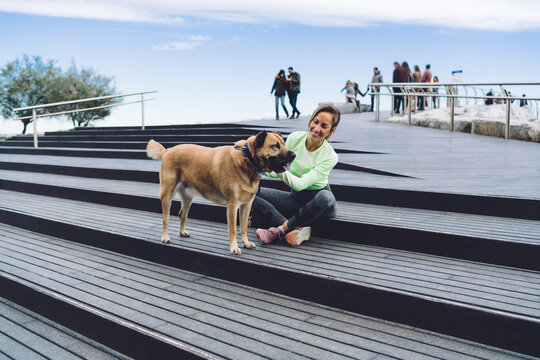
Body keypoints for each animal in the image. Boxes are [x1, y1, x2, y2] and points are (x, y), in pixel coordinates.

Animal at [146, 131, 296, 255]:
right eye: (275, 146)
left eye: (283, 144)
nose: (294, 155)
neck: (246, 159)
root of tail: (167, 150)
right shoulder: (232, 206)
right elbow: (233, 229)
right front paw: (234, 248)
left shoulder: (246, 205)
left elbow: (243, 228)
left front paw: (246, 243)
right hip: (167, 195)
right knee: (165, 218)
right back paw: (165, 237)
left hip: (188, 199)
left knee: (182, 214)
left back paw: (182, 232)